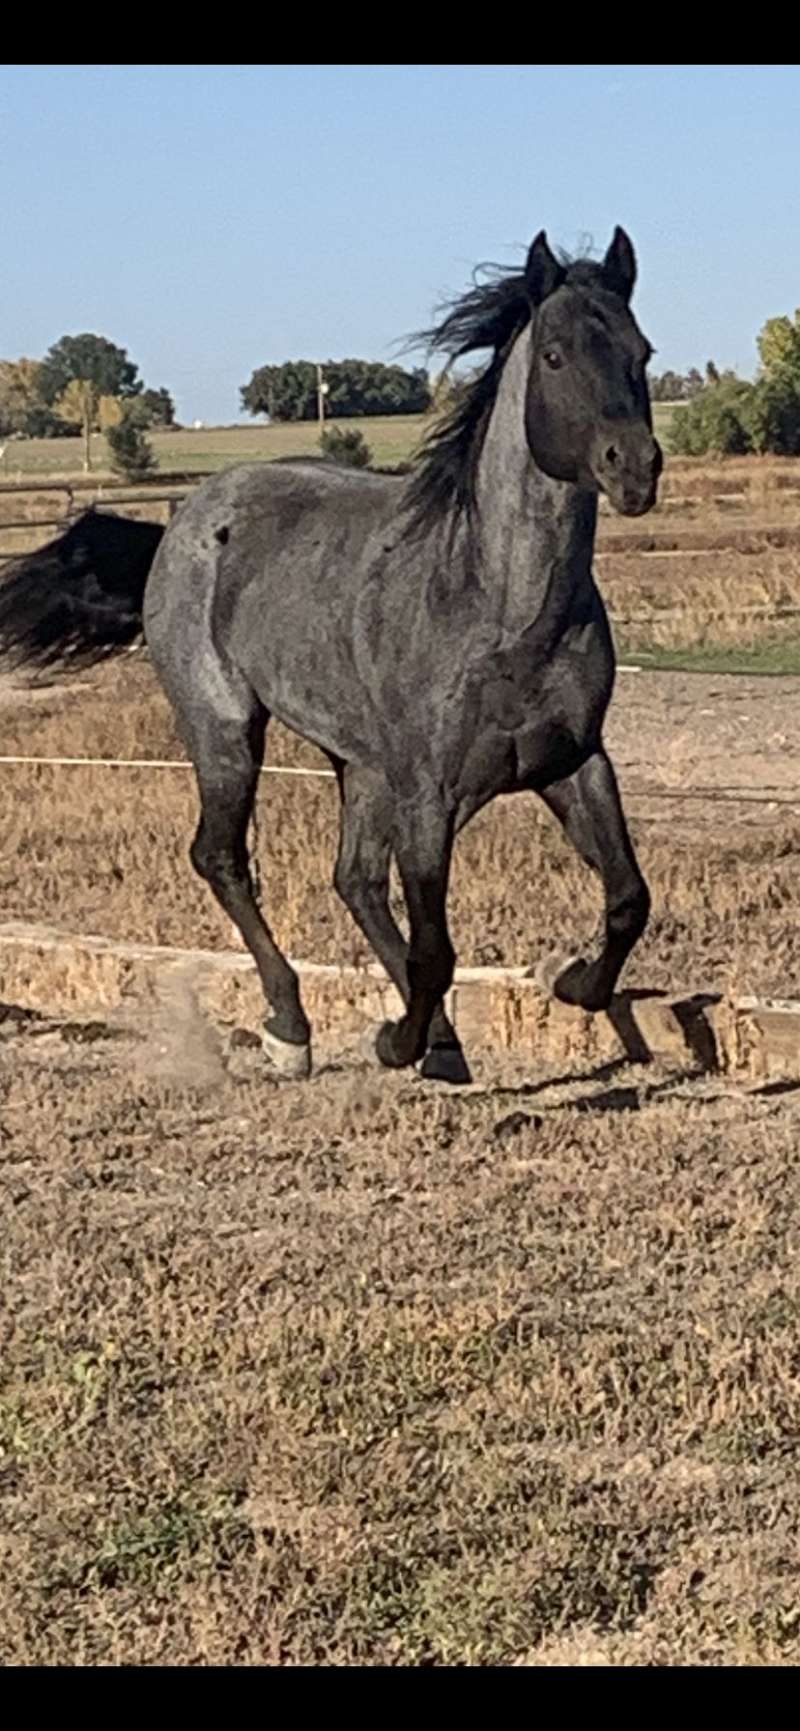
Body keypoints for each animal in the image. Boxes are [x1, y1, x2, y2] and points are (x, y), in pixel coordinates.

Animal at [0, 225, 662, 1086]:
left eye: (641, 351)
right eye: (554, 355)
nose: (635, 466)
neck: (500, 609)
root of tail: (181, 525)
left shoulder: (574, 762)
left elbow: (627, 897)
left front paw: (573, 985)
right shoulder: (429, 794)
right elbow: (435, 949)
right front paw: (398, 1042)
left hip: (359, 760)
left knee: (353, 879)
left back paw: (431, 1040)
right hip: (224, 729)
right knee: (223, 857)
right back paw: (292, 1026)